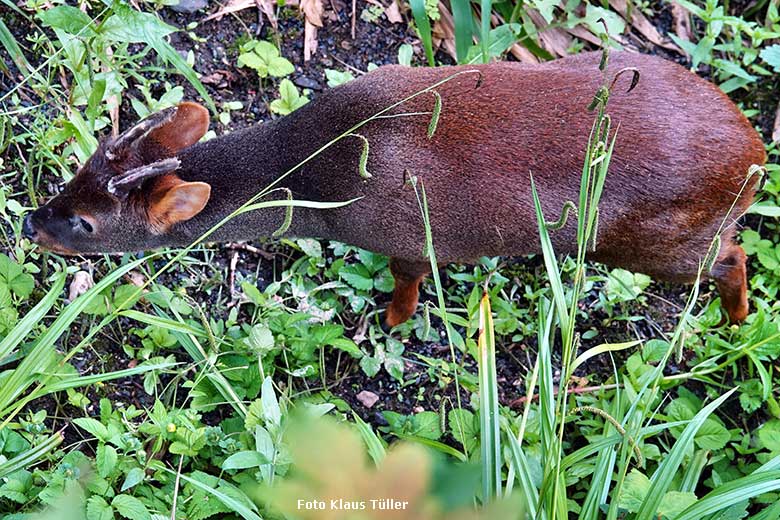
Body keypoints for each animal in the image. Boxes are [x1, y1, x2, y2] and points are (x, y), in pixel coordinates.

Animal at [22, 53, 760, 330]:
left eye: (87, 224)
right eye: (77, 171)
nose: (32, 221)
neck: (322, 177)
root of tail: (755, 152)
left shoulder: (408, 237)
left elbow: (407, 283)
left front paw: (392, 321)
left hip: (652, 241)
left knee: (734, 255)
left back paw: (736, 321)